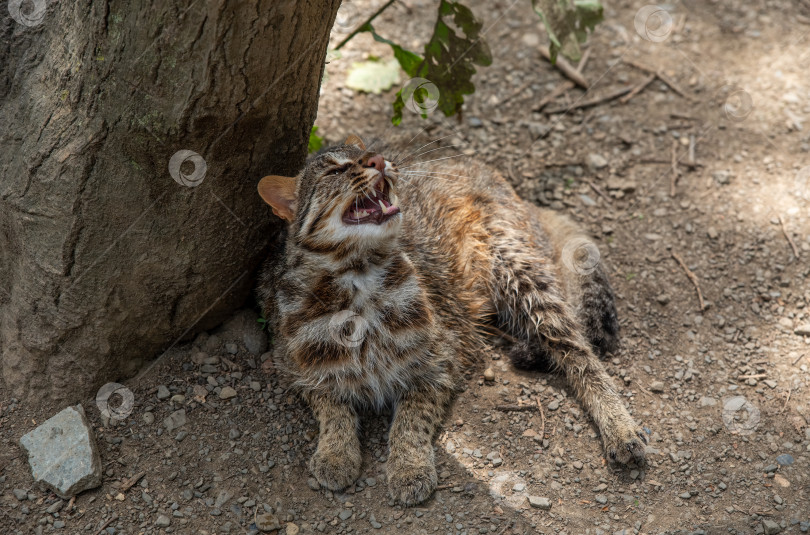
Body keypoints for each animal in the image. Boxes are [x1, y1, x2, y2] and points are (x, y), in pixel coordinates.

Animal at [254, 134, 644, 506]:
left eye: (366, 155)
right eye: (335, 170)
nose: (378, 160)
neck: (359, 278)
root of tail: (480, 167)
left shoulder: (440, 361)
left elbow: (411, 419)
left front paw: (409, 466)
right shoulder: (297, 368)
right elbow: (332, 409)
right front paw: (336, 452)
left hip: (516, 267)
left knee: (581, 355)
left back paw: (619, 425)